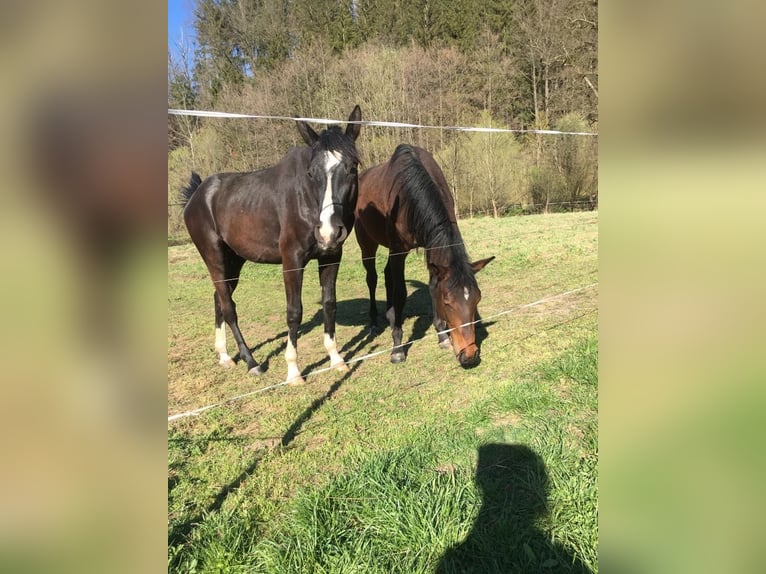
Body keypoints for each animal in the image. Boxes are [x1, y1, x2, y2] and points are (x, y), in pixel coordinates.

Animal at [181, 106, 362, 385]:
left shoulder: (331, 256)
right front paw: (294, 371)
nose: (328, 231)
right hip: (214, 258)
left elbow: (330, 304)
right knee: (229, 307)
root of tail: (197, 194)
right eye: (311, 173)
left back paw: (224, 356)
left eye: (352, 168)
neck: (306, 200)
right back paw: (251, 362)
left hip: (233, 261)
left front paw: (336, 359)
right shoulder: (292, 260)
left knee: (219, 299)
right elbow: (294, 311)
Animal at [354, 144, 494, 367]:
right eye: (448, 303)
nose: (469, 355)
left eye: (477, 299)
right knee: (372, 278)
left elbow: (432, 285)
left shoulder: (431, 245)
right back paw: (374, 322)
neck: (409, 193)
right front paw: (397, 348)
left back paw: (391, 316)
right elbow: (401, 292)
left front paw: (442, 335)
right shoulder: (398, 250)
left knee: (386, 275)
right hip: (367, 244)